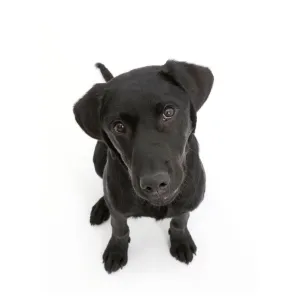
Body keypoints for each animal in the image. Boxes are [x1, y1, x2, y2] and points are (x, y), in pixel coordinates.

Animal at [73, 59, 213, 274]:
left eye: (169, 112)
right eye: (118, 126)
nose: (155, 183)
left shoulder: (189, 201)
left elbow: (180, 220)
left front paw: (181, 241)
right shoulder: (118, 211)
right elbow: (119, 228)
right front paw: (116, 250)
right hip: (98, 159)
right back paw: (101, 206)